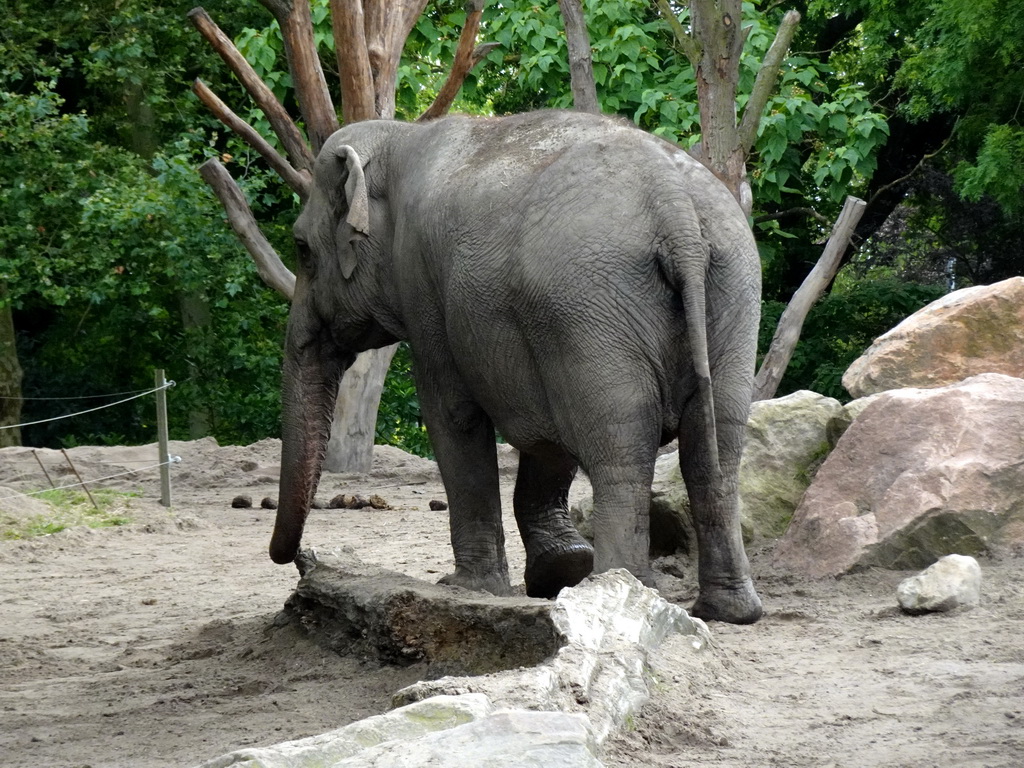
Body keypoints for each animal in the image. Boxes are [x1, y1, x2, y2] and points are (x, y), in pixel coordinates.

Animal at [268, 108, 765, 626]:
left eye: (301, 248)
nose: (297, 556)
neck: (400, 138)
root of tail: (677, 210)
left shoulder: (424, 284)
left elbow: (452, 414)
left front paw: (468, 587)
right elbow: (549, 438)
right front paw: (558, 570)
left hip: (591, 310)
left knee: (620, 446)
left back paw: (620, 592)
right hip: (731, 295)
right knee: (714, 445)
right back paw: (727, 610)